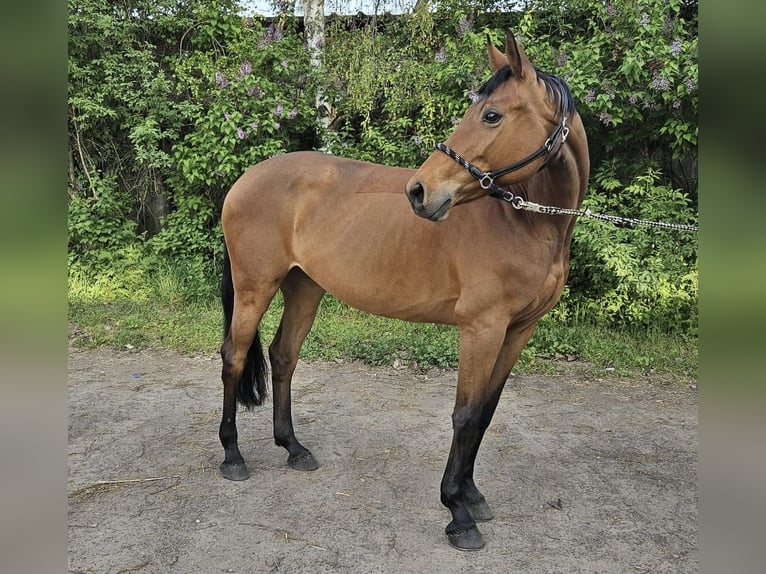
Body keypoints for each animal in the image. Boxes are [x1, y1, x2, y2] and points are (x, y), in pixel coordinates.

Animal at [217, 29, 589, 551]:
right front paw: (458, 512)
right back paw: (232, 456)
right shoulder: (481, 329)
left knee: (283, 356)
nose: (419, 191)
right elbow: (465, 415)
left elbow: (486, 412)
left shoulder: (518, 331)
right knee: (234, 356)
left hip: (304, 289)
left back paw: (293, 448)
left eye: (492, 115)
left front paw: (473, 495)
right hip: (256, 287)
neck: (526, 223)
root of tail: (244, 180)